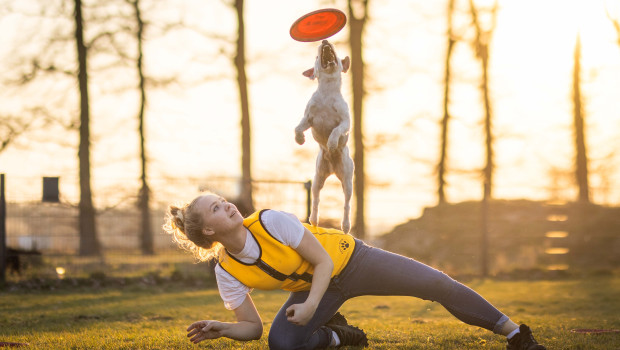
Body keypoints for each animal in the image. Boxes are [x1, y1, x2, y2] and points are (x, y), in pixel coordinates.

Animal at [296, 39, 354, 234]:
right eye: (316, 56)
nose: (325, 40)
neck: (328, 92)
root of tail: (333, 169)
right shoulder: (308, 119)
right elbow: (298, 128)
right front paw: (300, 139)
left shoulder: (345, 122)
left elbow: (336, 130)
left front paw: (332, 142)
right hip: (317, 178)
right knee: (316, 199)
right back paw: (313, 219)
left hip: (347, 180)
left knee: (347, 204)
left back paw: (345, 226)